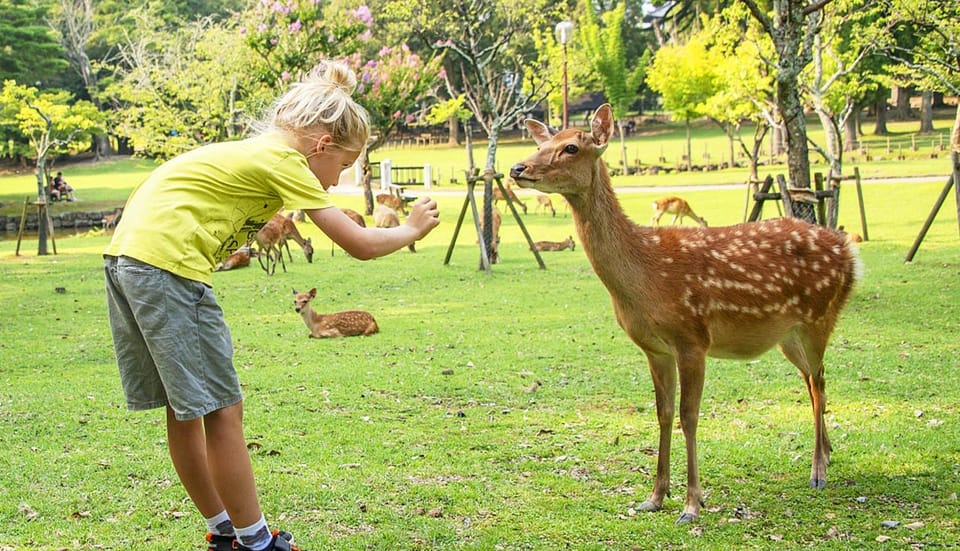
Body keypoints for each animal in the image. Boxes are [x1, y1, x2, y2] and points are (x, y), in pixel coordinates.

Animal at [510, 104, 864, 528]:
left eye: (571, 148)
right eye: (542, 143)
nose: (517, 168)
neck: (645, 274)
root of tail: (850, 251)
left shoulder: (693, 338)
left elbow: (689, 415)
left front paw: (692, 504)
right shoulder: (655, 348)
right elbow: (663, 413)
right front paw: (655, 496)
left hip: (819, 316)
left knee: (819, 383)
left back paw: (818, 471)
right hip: (788, 335)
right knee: (814, 381)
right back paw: (827, 454)